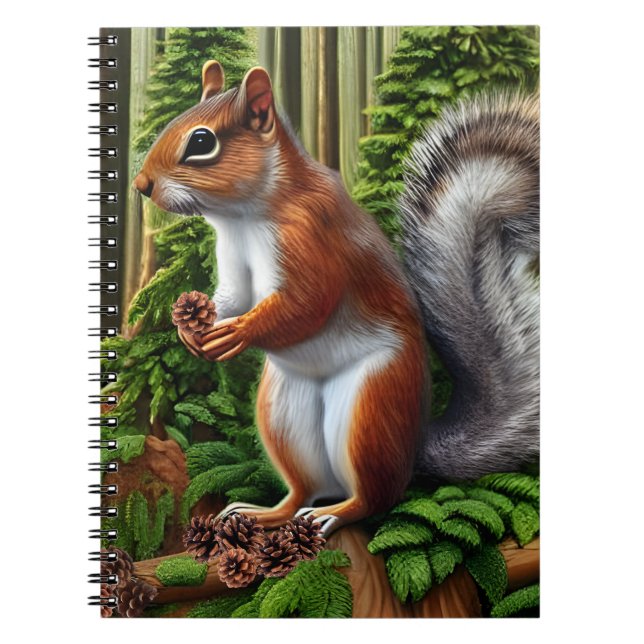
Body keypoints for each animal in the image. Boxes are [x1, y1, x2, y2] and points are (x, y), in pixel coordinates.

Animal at [133, 60, 539, 536]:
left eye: (201, 142)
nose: (141, 184)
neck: (244, 216)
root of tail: (413, 447)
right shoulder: (232, 260)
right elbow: (232, 297)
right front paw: (190, 328)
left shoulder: (313, 238)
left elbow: (308, 304)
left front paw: (241, 332)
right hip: (284, 412)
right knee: (304, 489)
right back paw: (265, 513)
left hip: (372, 407)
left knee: (374, 496)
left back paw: (334, 513)